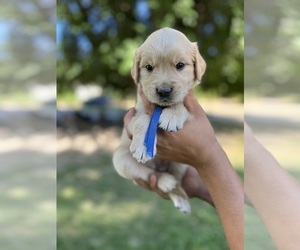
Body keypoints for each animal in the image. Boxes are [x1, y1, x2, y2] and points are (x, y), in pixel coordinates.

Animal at [112, 27, 206, 213]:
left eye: (180, 65)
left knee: (177, 180)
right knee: (151, 175)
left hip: (181, 164)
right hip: (121, 161)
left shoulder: (193, 110)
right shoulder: (134, 114)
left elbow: (180, 105)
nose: (164, 91)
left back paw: (180, 198)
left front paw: (172, 115)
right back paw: (165, 182)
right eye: (149, 67)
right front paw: (143, 145)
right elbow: (143, 119)